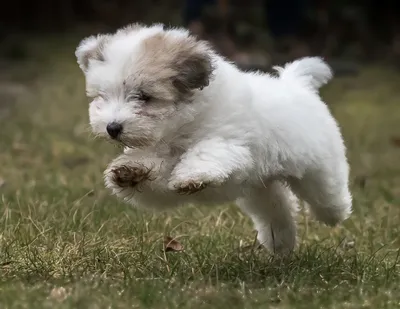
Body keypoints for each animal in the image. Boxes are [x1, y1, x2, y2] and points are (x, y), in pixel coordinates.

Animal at [76, 23, 352, 253]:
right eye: (103, 96)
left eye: (144, 96)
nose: (112, 127)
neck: (180, 125)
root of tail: (297, 85)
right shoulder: (161, 155)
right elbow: (153, 174)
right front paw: (129, 171)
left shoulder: (229, 140)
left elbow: (206, 150)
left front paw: (191, 176)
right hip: (261, 187)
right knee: (277, 210)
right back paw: (280, 245)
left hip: (319, 168)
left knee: (326, 195)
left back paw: (337, 214)